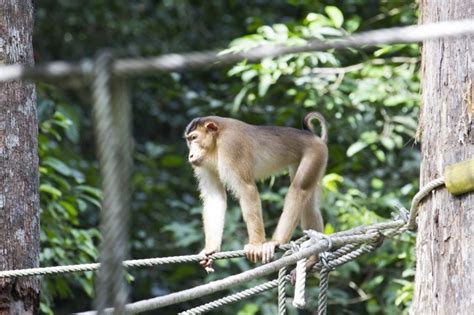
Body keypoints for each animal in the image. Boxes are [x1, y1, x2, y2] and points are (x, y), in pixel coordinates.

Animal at [183, 112, 328, 272]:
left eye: (194, 138)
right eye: (189, 140)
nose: (190, 155)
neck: (217, 139)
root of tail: (311, 136)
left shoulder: (231, 145)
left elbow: (247, 189)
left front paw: (256, 245)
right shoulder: (204, 163)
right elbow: (215, 198)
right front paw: (210, 249)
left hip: (315, 153)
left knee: (299, 189)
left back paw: (277, 241)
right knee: (310, 206)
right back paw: (314, 257)